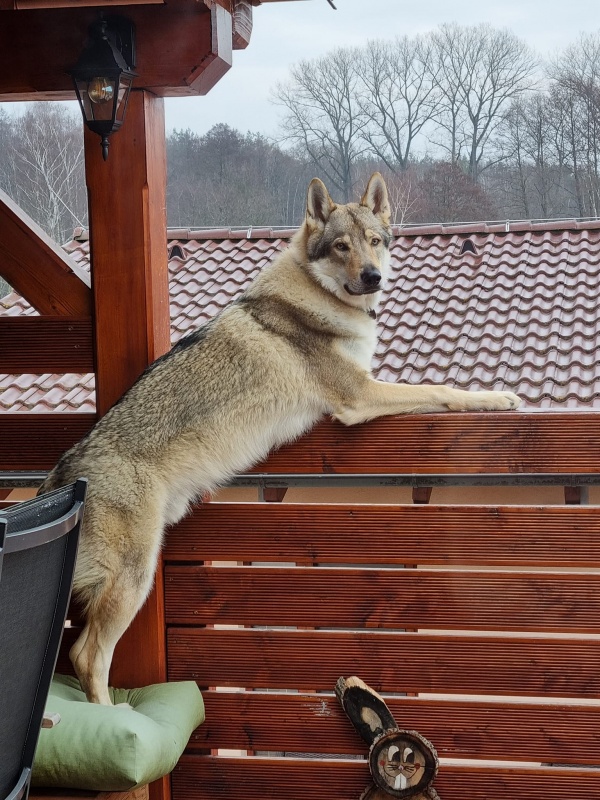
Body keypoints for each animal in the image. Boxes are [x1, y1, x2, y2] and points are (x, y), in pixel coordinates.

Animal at [41, 172, 520, 704]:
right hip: (135, 578)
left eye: (374, 242)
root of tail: (65, 472)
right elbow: (440, 389)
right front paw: (495, 397)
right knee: (88, 656)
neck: (320, 295)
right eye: (341, 246)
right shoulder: (358, 396)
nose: (373, 276)